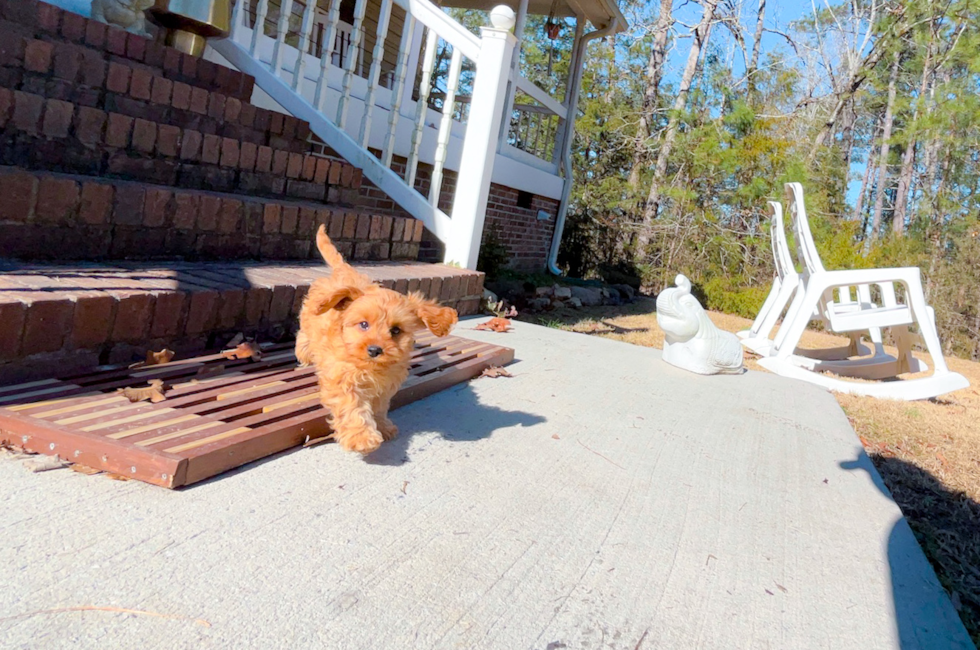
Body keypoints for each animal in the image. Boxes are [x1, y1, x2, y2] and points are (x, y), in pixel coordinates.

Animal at [294, 225, 460, 454]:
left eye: (396, 330)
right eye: (364, 324)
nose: (374, 350)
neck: (370, 367)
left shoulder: (385, 385)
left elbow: (379, 407)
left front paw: (382, 426)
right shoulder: (343, 380)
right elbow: (352, 407)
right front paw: (361, 437)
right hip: (310, 319)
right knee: (304, 336)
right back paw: (304, 356)